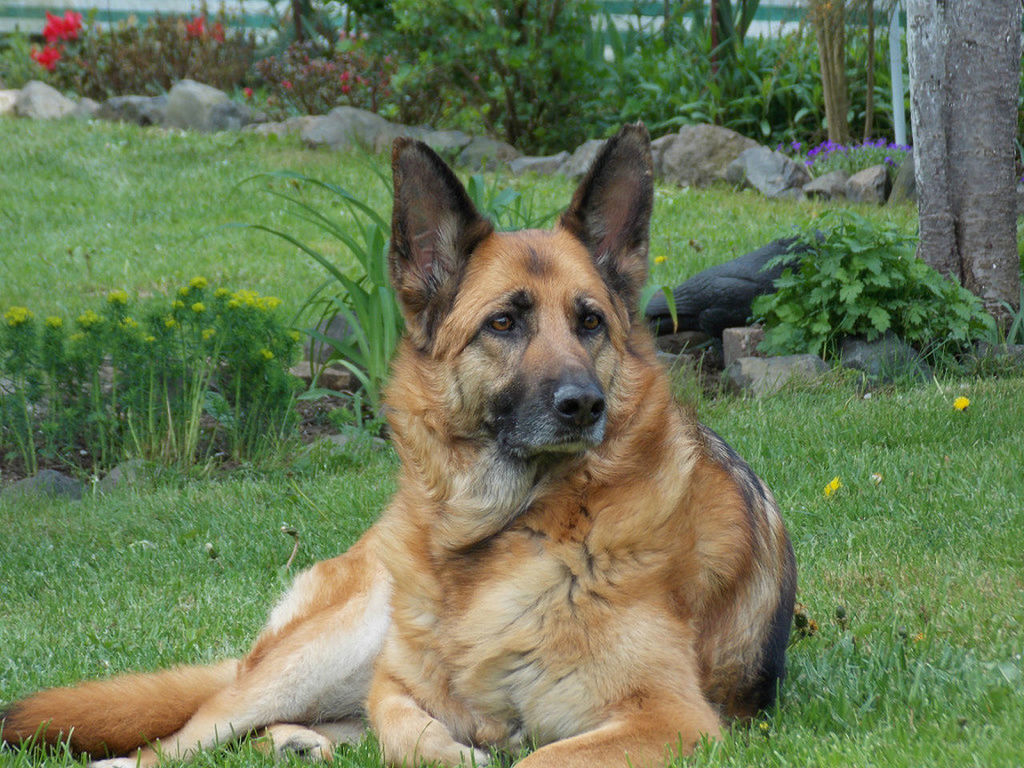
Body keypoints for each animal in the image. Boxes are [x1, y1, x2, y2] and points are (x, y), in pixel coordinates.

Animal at [4, 126, 794, 768]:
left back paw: (295, 742)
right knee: (182, 737)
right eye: (504, 323)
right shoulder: (396, 683)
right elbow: (406, 729)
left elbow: (533, 756)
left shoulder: (671, 717)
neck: (502, 532)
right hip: (326, 648)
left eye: (591, 322)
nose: (583, 406)